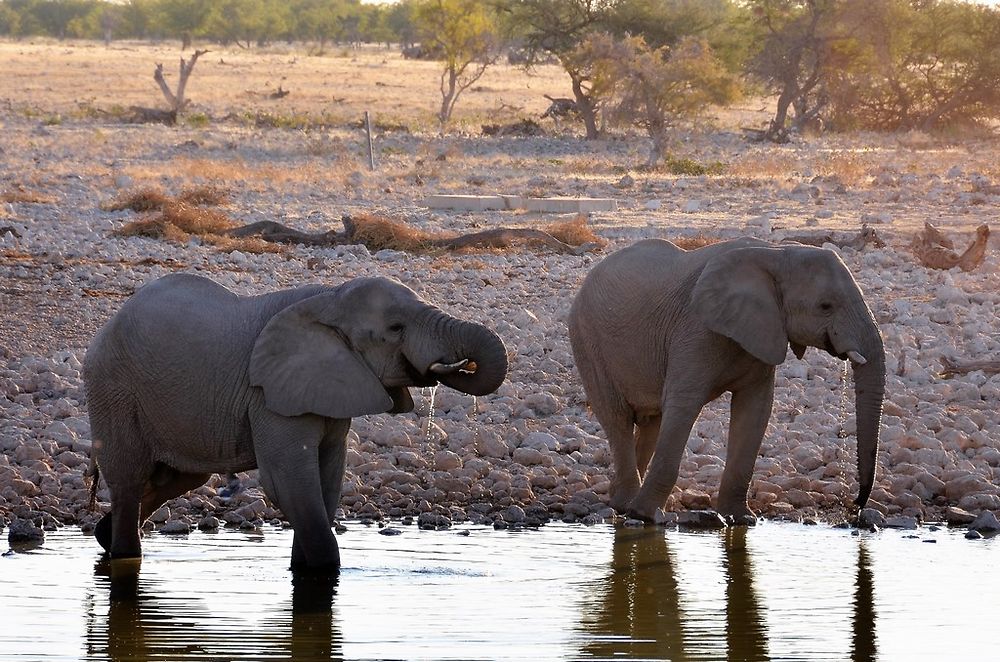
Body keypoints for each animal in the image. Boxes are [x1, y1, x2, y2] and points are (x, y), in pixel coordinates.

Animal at [83, 274, 508, 572]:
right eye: (395, 329)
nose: (459, 365)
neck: (330, 298)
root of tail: (107, 325)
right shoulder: (270, 396)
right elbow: (288, 481)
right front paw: (323, 572)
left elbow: (327, 479)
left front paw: (301, 568)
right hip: (112, 388)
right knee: (129, 477)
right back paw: (123, 553)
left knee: (179, 478)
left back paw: (105, 536)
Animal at [568, 237, 888, 524]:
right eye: (825, 306)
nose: (856, 504)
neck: (776, 252)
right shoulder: (696, 329)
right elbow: (683, 404)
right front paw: (646, 516)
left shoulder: (763, 332)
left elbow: (755, 410)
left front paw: (740, 519)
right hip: (586, 338)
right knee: (618, 418)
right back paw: (626, 506)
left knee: (651, 423)